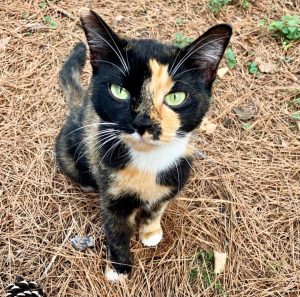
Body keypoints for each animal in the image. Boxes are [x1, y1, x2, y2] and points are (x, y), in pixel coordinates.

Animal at [55, 6, 231, 280]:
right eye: (119, 91)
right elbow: (116, 229)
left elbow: (157, 206)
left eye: (176, 97)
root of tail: (79, 105)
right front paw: (119, 269)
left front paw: (150, 231)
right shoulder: (111, 191)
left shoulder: (176, 175)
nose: (143, 123)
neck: (149, 161)